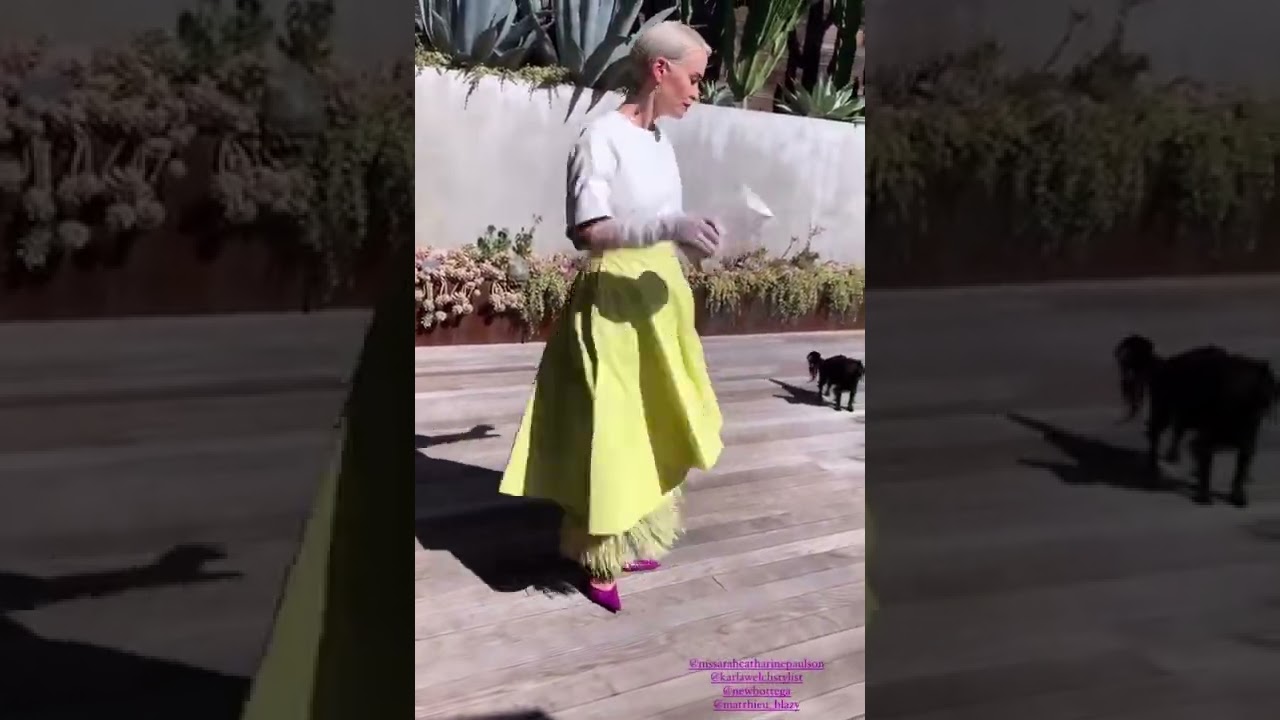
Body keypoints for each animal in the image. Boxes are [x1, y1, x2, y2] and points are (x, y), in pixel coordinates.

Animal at [1115, 334, 1279, 506]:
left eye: (1259, 386)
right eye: (1232, 386)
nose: (1265, 404)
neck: (1234, 415)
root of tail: (1165, 363)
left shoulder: (1247, 443)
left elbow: (1239, 474)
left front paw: (1237, 497)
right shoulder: (1207, 440)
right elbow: (1206, 469)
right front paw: (1204, 497)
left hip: (1185, 418)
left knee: (1178, 433)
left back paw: (1177, 458)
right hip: (1163, 413)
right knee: (1155, 436)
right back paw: (1153, 466)